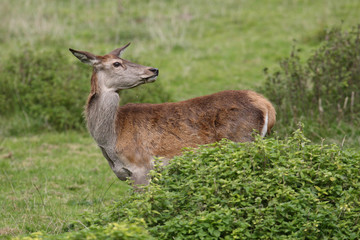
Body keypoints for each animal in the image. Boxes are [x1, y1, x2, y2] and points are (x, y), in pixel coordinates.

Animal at [69, 43, 276, 186]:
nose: (153, 69)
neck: (112, 139)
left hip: (242, 141)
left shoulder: (141, 168)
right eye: (117, 63)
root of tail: (266, 105)